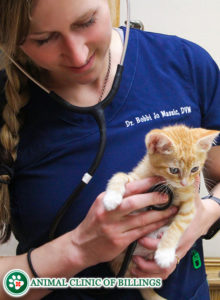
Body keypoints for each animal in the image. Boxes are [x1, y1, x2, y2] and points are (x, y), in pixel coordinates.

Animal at [102, 124, 218, 300]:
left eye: (195, 169)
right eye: (174, 170)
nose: (184, 183)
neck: (165, 182)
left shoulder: (189, 206)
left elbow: (177, 227)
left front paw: (164, 253)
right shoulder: (137, 178)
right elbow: (120, 176)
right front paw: (111, 198)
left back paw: (161, 234)